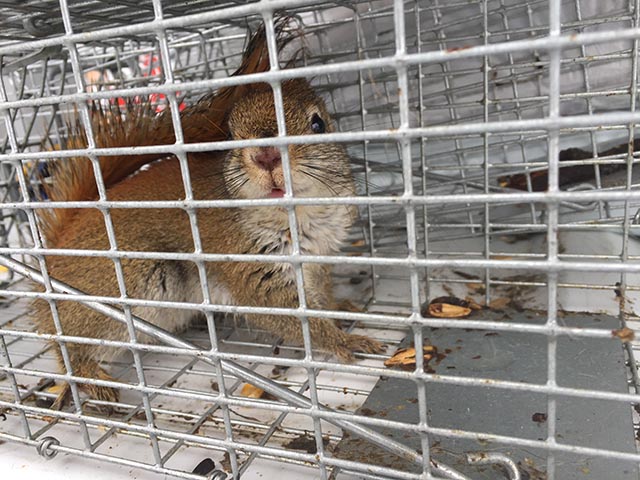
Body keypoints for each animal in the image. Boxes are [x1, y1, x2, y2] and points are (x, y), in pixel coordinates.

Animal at [32, 21, 384, 407]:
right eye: (230, 134)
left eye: (318, 124)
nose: (265, 155)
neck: (298, 216)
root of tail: (55, 252)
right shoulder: (252, 273)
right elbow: (298, 321)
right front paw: (344, 341)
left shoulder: (318, 261)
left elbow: (321, 299)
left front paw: (342, 309)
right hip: (122, 287)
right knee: (69, 345)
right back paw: (90, 377)